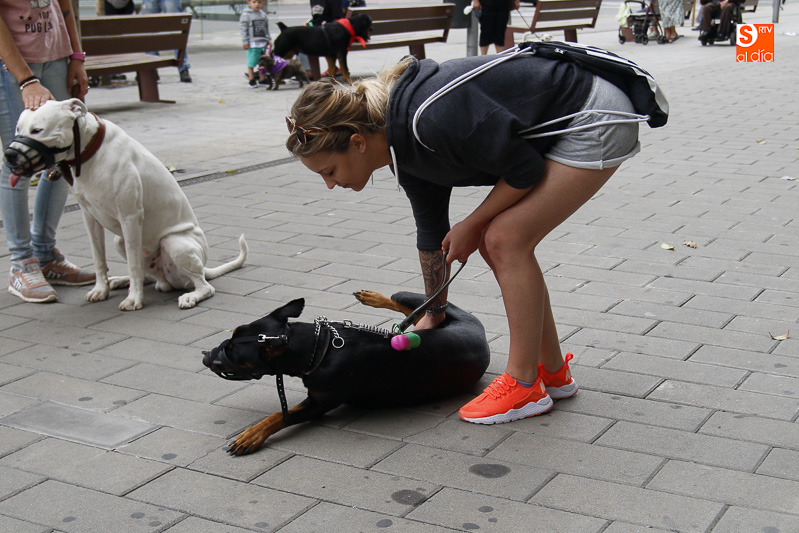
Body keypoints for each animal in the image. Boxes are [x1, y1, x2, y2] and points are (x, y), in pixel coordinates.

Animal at [3, 99, 248, 311]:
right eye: (18, 130)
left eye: (37, 130)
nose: (9, 155)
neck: (90, 152)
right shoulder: (89, 217)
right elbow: (99, 259)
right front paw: (101, 289)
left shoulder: (130, 217)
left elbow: (133, 264)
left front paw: (134, 299)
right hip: (119, 240)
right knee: (149, 276)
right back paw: (122, 281)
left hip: (174, 243)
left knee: (203, 286)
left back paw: (190, 295)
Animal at [203, 290, 490, 455]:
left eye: (232, 351)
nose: (205, 356)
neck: (321, 347)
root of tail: (479, 331)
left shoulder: (319, 402)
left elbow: (278, 416)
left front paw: (251, 435)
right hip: (428, 322)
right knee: (414, 310)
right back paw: (373, 297)